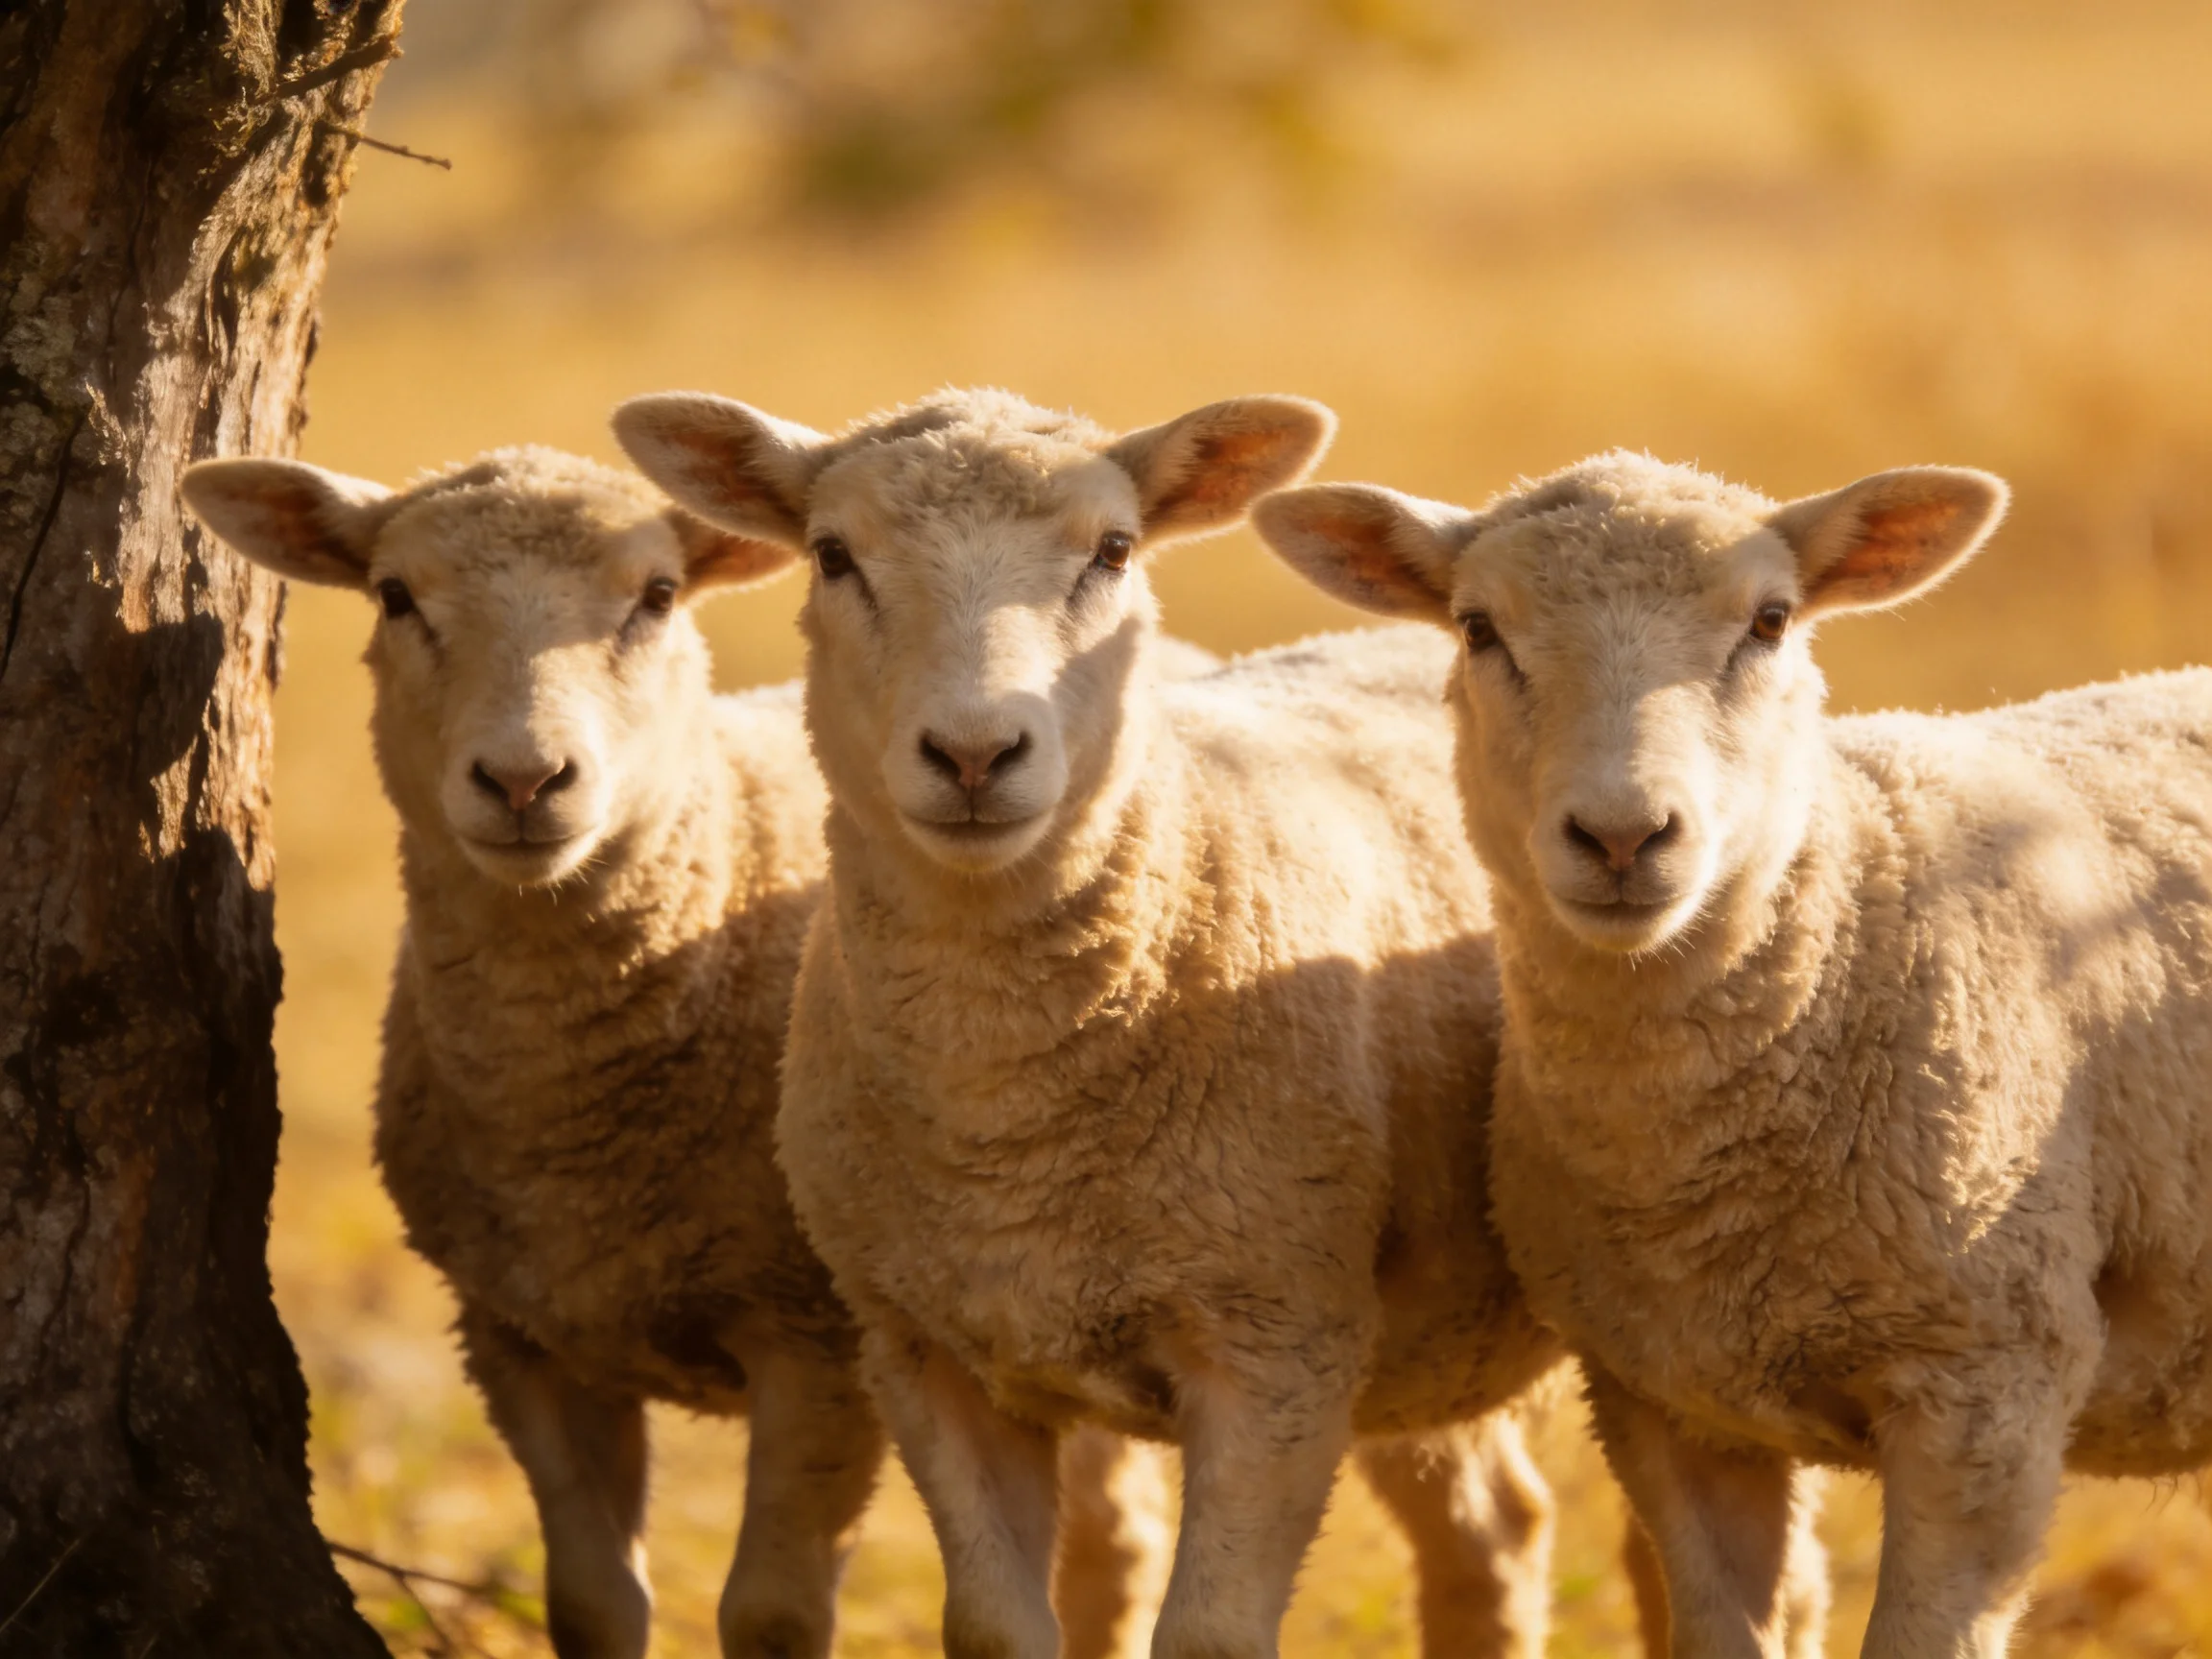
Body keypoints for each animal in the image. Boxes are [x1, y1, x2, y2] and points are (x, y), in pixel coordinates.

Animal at [179, 446, 1175, 1659]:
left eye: (657, 596)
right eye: (395, 596)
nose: (524, 782)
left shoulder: (820, 1339)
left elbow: (773, 1612)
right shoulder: (519, 1339)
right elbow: (591, 1603)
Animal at [615, 386, 1681, 1659]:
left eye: (1114, 551)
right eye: (833, 555)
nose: (976, 753)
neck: (1001, 1107)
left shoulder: (1278, 1344)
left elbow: (1210, 1638)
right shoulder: (925, 1353)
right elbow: (994, 1632)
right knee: (1495, 1532)